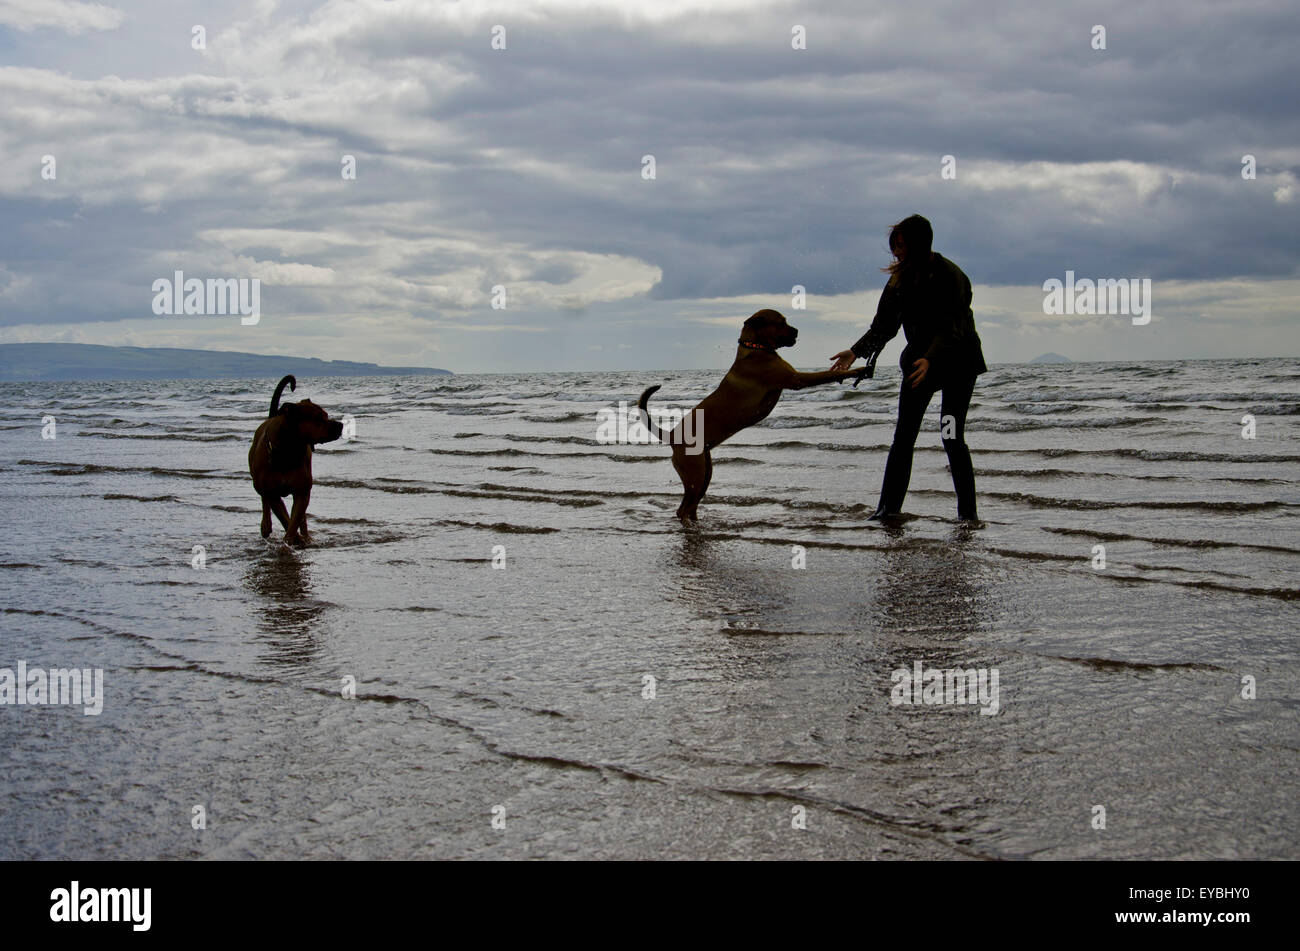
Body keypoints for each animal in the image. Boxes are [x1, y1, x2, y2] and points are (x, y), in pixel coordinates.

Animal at [245, 374, 343, 545]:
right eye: (318, 418)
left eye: (326, 415)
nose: (341, 425)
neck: (289, 450)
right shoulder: (273, 493)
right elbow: (284, 517)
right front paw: (292, 538)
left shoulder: (302, 491)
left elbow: (296, 517)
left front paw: (294, 537)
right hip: (257, 481)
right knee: (264, 498)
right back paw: (266, 525)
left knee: (301, 516)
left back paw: (306, 536)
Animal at [637, 310, 863, 524]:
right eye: (781, 322)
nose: (797, 331)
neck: (756, 347)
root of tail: (672, 436)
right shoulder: (796, 379)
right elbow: (827, 374)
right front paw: (857, 369)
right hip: (695, 473)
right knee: (684, 509)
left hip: (704, 473)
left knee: (689, 507)